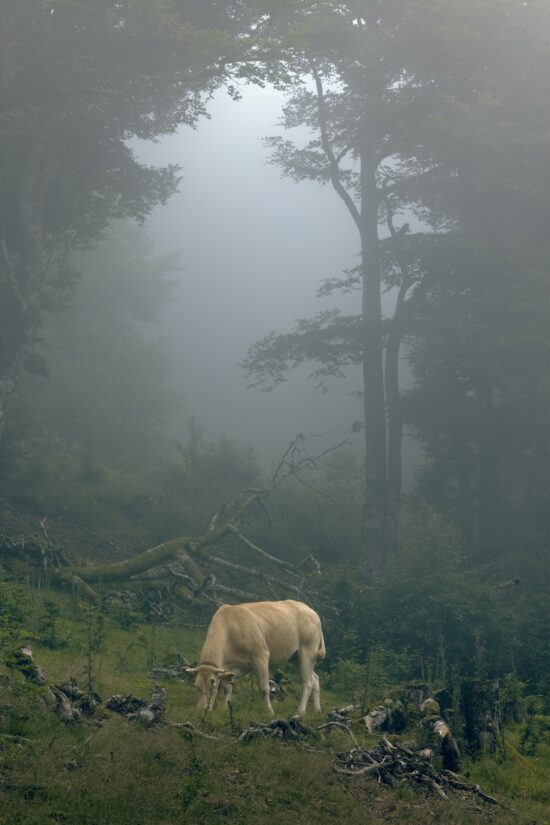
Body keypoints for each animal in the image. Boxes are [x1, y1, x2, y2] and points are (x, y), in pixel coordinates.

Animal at [185, 599, 325, 717]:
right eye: (196, 687)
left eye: (212, 685)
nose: (202, 709)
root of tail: (310, 610)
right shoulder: (229, 667)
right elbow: (227, 688)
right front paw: (225, 709)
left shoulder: (260, 656)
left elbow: (264, 688)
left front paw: (270, 712)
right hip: (295, 657)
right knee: (315, 679)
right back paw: (317, 710)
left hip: (307, 652)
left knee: (307, 683)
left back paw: (300, 711)